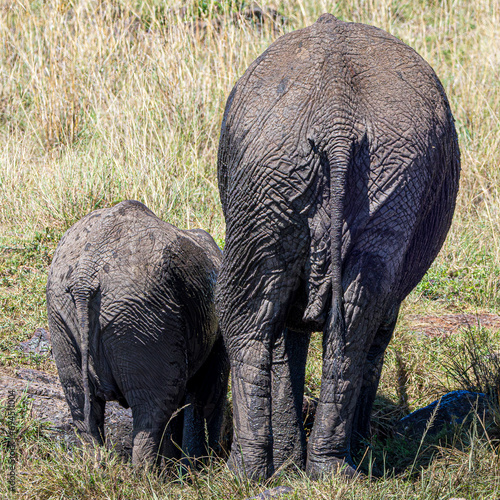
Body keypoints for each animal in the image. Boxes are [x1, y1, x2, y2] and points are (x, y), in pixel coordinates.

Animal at [47, 201, 229, 466]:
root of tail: (85, 276)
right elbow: (209, 393)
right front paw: (208, 466)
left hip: (63, 313)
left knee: (81, 405)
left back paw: (97, 466)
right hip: (143, 316)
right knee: (155, 409)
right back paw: (149, 475)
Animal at [217, 13, 458, 478]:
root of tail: (337, 118)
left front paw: (291, 463)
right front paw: (294, 462)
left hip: (317, 174)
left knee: (262, 312)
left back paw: (274, 470)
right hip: (298, 173)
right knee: (339, 310)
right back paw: (297, 469)